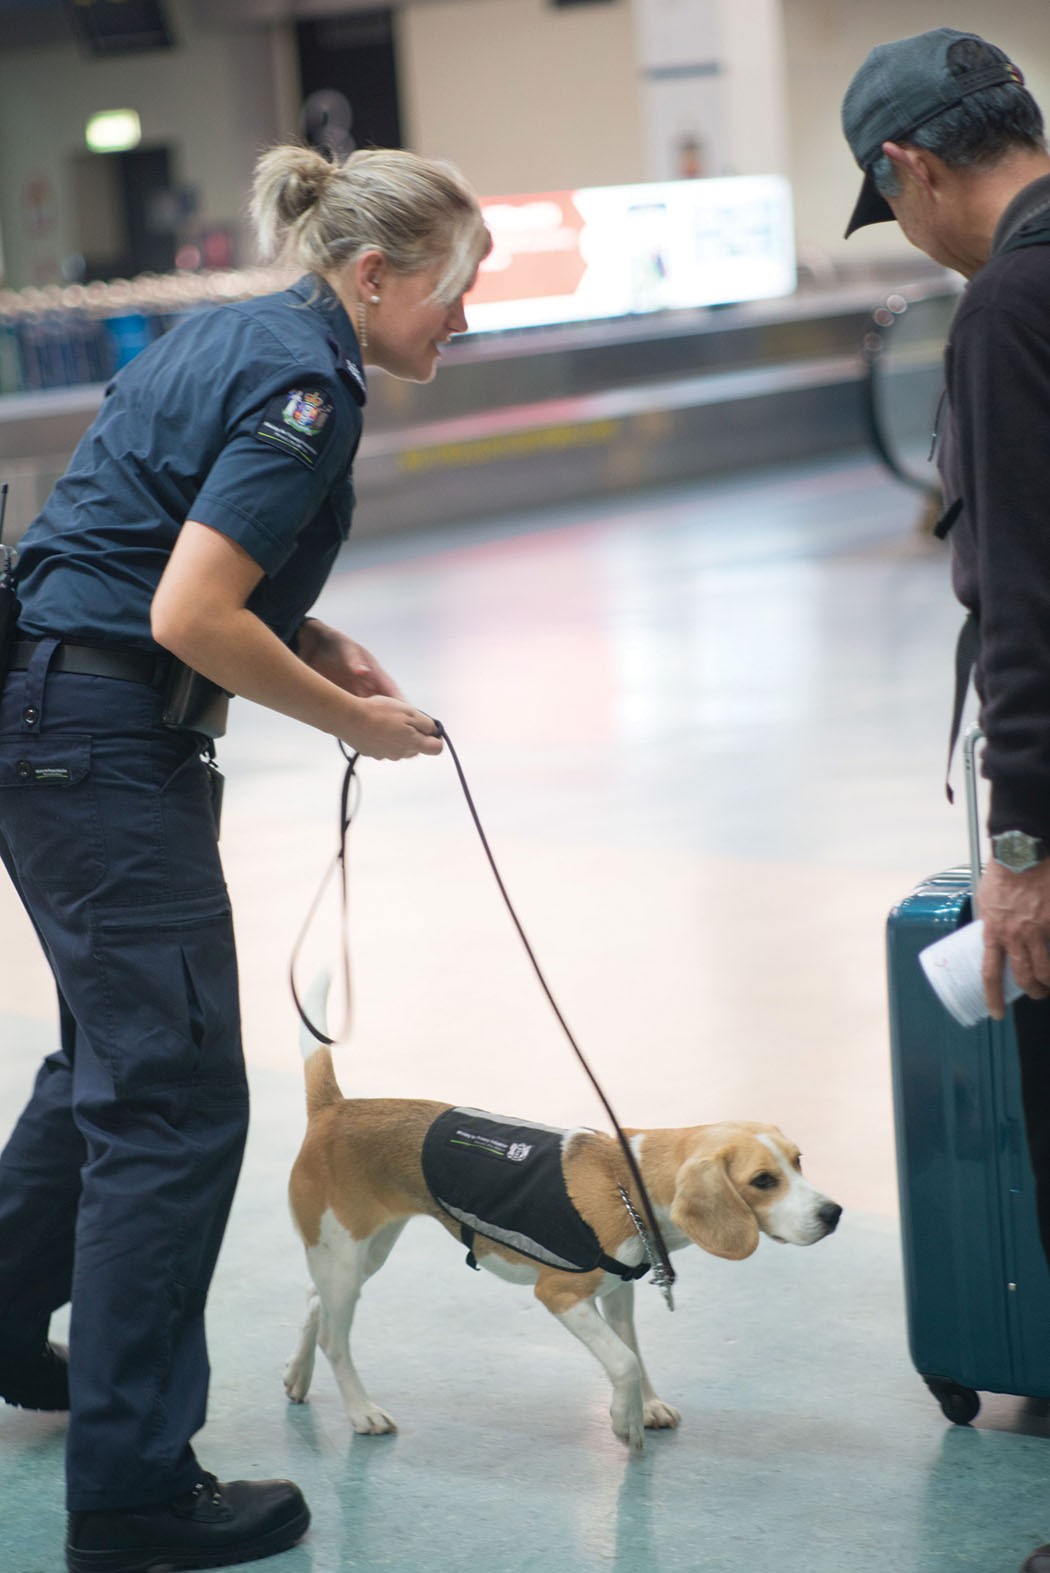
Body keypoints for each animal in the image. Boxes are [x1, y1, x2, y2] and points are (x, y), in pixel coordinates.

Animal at [284, 987, 842, 1451]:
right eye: (763, 1180)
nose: (833, 1213)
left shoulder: (618, 1293)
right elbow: (624, 1359)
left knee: (313, 1300)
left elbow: (632, 1347)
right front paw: (625, 1420)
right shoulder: (560, 1294)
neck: (630, 1181)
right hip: (346, 1254)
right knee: (335, 1337)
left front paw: (646, 1405)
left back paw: (297, 1376)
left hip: (361, 1252)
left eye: (799, 1161)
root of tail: (334, 1108)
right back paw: (361, 1411)